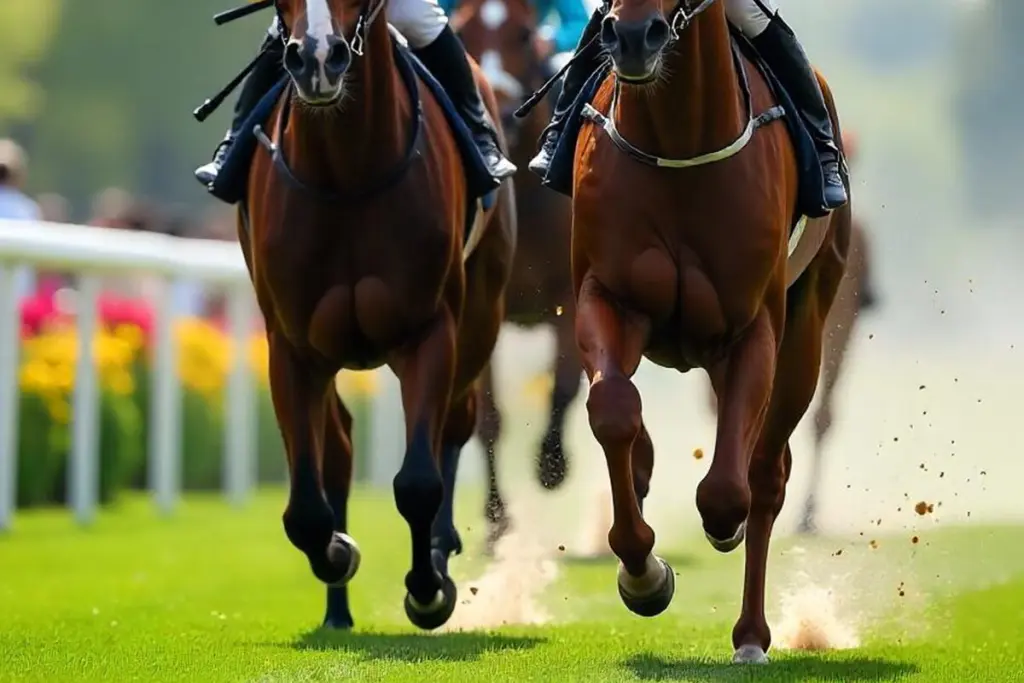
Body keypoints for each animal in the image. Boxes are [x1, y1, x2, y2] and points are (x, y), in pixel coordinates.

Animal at [241, 0, 515, 631]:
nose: (318, 59)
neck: (347, 176)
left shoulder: (429, 329)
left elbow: (418, 481)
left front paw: (428, 588)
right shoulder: (290, 344)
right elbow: (305, 510)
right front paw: (338, 552)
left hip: (480, 318)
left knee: (456, 424)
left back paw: (439, 550)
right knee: (340, 444)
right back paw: (336, 611)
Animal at [568, 0, 851, 662]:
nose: (632, 37)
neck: (677, 143)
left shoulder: (755, 328)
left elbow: (726, 492)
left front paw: (718, 532)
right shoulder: (604, 295)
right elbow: (612, 410)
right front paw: (643, 574)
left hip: (809, 327)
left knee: (767, 475)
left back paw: (751, 634)